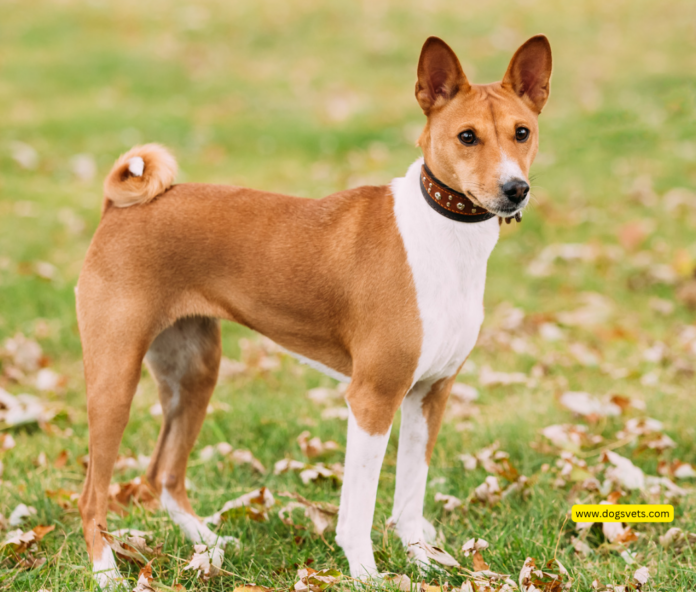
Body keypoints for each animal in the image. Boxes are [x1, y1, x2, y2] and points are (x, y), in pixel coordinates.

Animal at [76, 35, 552, 588]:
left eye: (522, 133)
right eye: (467, 136)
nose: (514, 189)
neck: (444, 237)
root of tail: (118, 208)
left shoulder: (430, 393)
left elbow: (410, 498)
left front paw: (423, 562)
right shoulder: (372, 397)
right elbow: (359, 509)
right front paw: (366, 573)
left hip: (194, 373)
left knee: (163, 476)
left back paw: (209, 545)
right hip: (115, 381)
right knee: (91, 496)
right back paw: (107, 571)